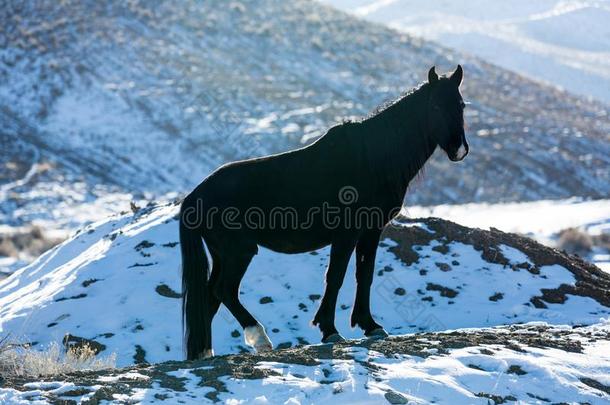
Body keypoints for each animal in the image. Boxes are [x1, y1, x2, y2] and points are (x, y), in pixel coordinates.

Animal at [179, 64, 466, 358]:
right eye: (435, 106)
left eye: (461, 105)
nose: (459, 150)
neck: (372, 159)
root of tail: (196, 194)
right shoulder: (347, 234)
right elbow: (335, 277)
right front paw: (329, 330)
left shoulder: (371, 232)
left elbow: (364, 275)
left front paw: (370, 325)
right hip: (238, 252)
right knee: (224, 291)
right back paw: (260, 339)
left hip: (223, 255)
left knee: (210, 297)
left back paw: (203, 354)